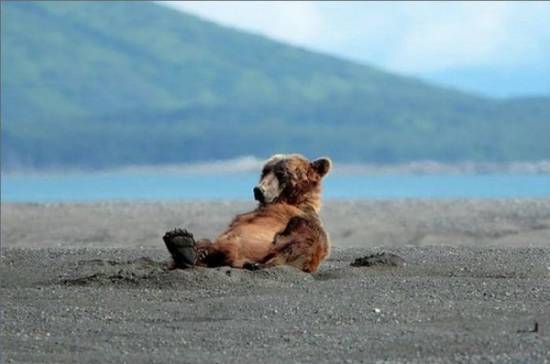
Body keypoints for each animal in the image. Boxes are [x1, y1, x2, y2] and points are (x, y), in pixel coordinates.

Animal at [163, 154, 332, 272]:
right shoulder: (243, 218)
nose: (259, 190)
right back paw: (183, 245)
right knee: (205, 244)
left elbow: (310, 239)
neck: (287, 201)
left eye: (282, 173)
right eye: (265, 171)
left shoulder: (305, 218)